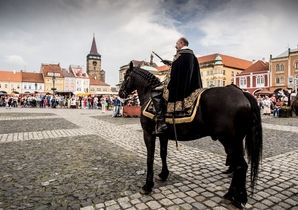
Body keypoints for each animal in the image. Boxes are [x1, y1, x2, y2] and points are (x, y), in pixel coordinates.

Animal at [119, 61, 264, 208]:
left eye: (126, 77)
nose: (120, 93)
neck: (150, 96)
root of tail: (242, 93)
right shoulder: (163, 135)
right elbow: (163, 153)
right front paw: (164, 174)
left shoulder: (148, 134)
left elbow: (150, 158)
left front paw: (148, 186)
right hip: (235, 141)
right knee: (239, 165)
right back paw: (232, 195)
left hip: (229, 140)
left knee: (241, 166)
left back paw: (239, 198)